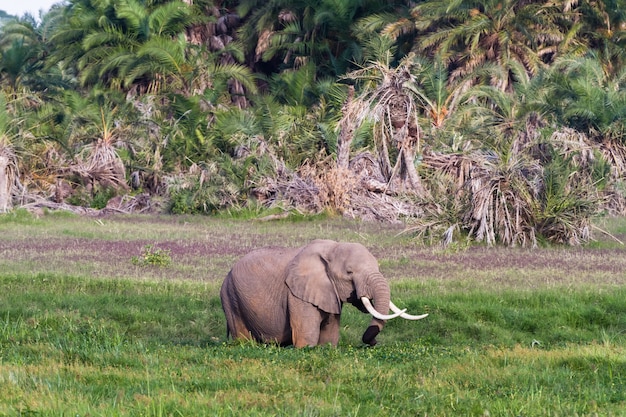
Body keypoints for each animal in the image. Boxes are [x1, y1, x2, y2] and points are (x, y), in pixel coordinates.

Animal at [217, 239, 426, 346]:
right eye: (349, 273)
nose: (374, 343)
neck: (332, 248)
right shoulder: (296, 294)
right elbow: (307, 336)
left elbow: (330, 335)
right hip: (230, 296)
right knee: (242, 337)